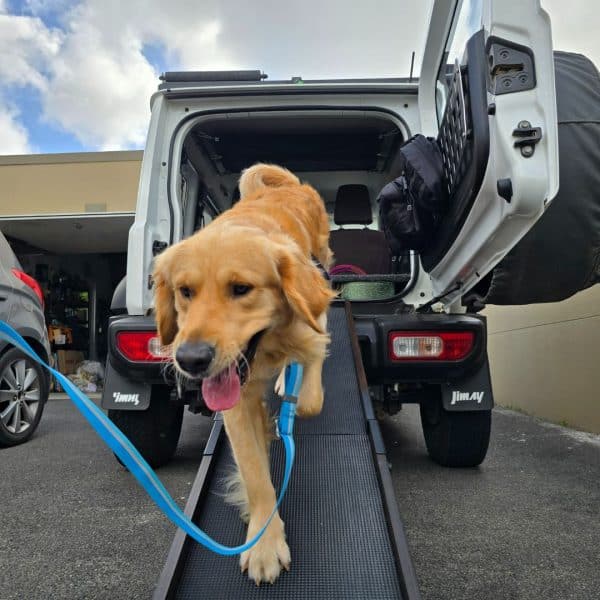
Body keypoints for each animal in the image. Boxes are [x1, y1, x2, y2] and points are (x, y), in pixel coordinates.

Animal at [152, 162, 336, 584]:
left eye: (241, 288)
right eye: (185, 291)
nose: (191, 359)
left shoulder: (313, 316)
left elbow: (312, 390)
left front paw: (295, 400)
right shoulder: (235, 400)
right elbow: (254, 473)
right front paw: (265, 542)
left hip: (323, 257)